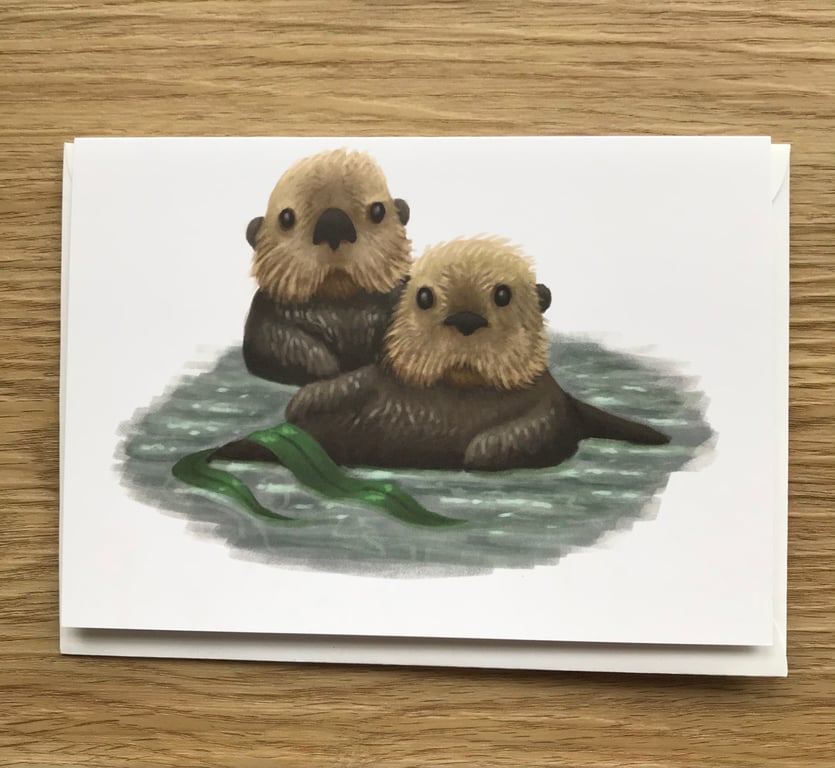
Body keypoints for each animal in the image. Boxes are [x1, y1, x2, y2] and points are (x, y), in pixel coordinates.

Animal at [218, 237, 670, 472]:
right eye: (424, 296)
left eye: (503, 295)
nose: (466, 319)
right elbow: (306, 400)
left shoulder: (547, 405)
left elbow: (499, 443)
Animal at [242, 148, 412, 385]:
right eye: (286, 217)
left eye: (378, 210)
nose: (334, 224)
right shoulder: (265, 313)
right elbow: (271, 339)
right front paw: (327, 367)